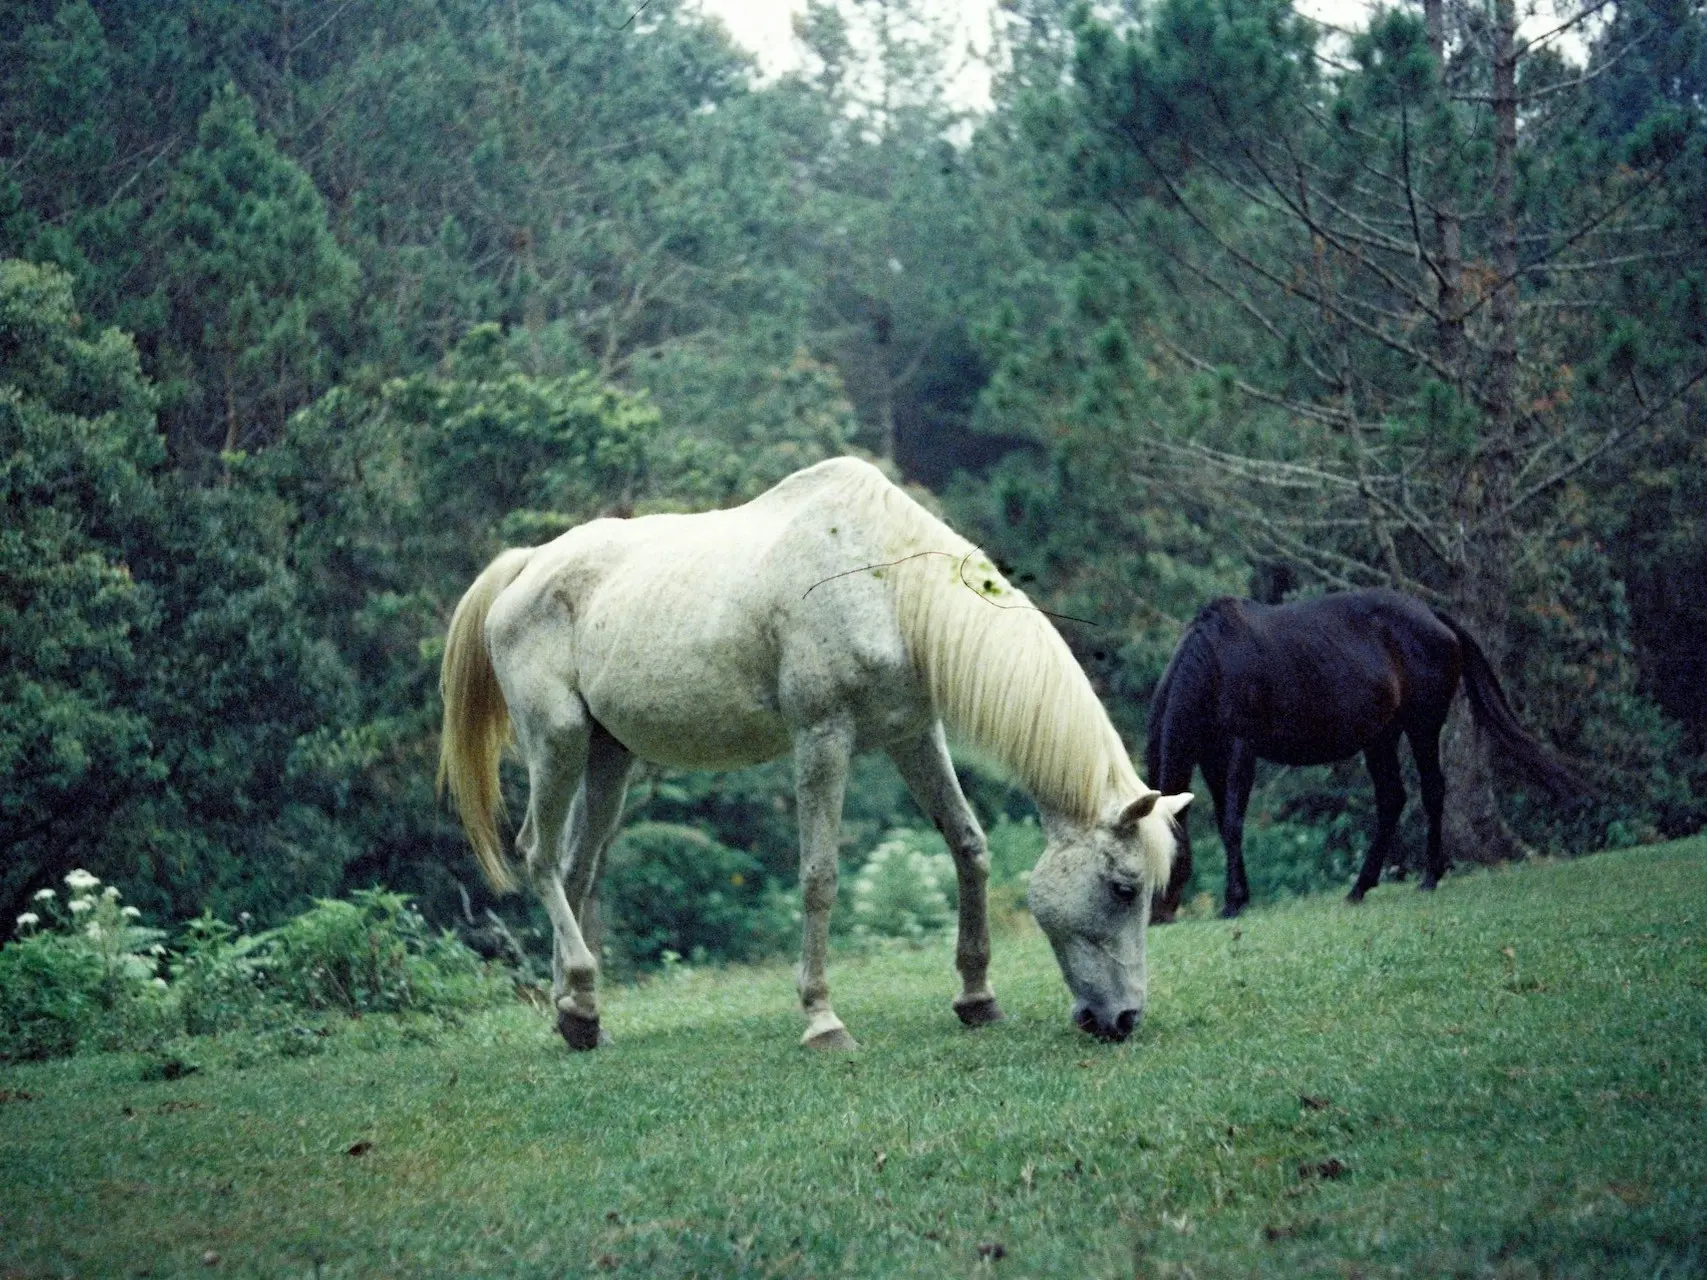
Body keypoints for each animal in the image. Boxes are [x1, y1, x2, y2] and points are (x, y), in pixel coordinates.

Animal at [436, 460, 1188, 1051]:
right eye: (1123, 888)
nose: (1123, 1019)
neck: (886, 584)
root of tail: (527, 565)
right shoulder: (823, 737)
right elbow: (819, 878)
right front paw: (822, 1020)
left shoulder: (913, 734)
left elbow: (968, 845)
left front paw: (977, 997)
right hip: (557, 743)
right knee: (537, 856)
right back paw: (581, 998)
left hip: (608, 760)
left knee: (574, 867)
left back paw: (576, 1013)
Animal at [1140, 590, 1577, 921]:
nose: (1156, 916)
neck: (1214, 662)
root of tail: (1433, 616)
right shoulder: (1213, 756)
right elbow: (1223, 822)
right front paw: (1239, 896)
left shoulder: (1240, 751)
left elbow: (1232, 824)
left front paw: (1233, 902)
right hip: (1381, 737)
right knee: (1392, 799)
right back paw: (1360, 887)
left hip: (1422, 726)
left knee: (1432, 791)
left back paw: (1429, 878)